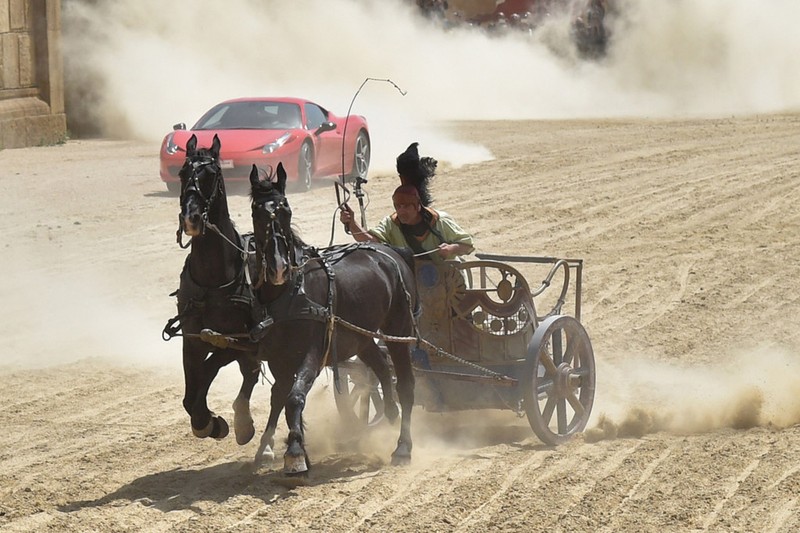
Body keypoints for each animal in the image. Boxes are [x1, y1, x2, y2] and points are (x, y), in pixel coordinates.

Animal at [171, 134, 260, 444]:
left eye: (212, 174)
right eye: (182, 173)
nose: (191, 218)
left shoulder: (236, 339)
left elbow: (207, 373)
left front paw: (209, 421)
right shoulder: (192, 338)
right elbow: (190, 395)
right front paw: (208, 422)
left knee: (251, 372)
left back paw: (243, 422)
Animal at [248, 164, 418, 472]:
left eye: (286, 209)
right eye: (257, 210)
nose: (278, 267)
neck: (292, 293)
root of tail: (392, 252)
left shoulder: (314, 354)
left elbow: (294, 397)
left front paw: (295, 455)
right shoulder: (279, 358)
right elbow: (280, 396)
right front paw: (274, 448)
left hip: (399, 329)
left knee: (406, 384)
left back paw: (403, 447)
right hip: (361, 337)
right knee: (381, 367)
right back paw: (388, 412)